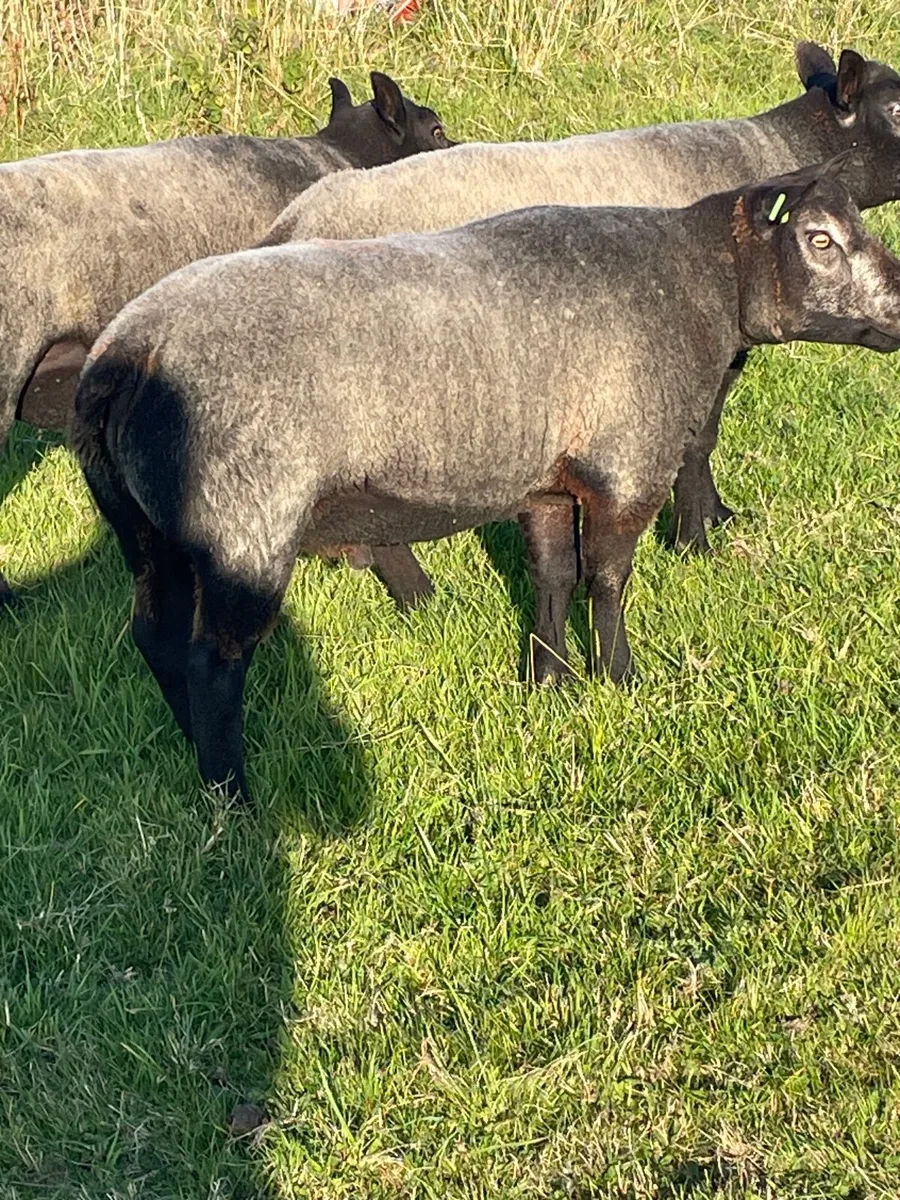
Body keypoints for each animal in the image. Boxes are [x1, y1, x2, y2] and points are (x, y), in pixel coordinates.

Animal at [71, 158, 900, 803]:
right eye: (819, 239)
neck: (698, 281)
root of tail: (124, 356)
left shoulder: (549, 482)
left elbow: (552, 576)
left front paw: (550, 682)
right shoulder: (627, 465)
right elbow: (607, 581)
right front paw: (621, 681)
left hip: (145, 528)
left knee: (156, 638)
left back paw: (195, 761)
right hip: (243, 526)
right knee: (214, 665)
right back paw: (235, 800)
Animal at [258, 42, 900, 607]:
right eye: (896, 110)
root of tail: (293, 221)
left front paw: (714, 517)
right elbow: (698, 439)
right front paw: (695, 540)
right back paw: (421, 596)